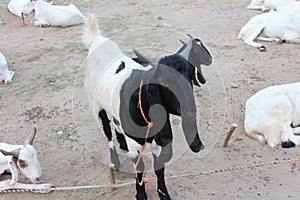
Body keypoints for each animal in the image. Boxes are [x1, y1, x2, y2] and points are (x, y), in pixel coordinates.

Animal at [83, 14, 212, 200]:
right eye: (165, 82)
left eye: (190, 77)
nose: (190, 110)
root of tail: (97, 39)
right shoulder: (135, 144)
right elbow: (140, 167)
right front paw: (140, 194)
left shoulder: (158, 140)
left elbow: (159, 166)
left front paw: (163, 193)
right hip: (96, 105)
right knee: (107, 130)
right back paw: (115, 160)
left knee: (116, 124)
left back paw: (121, 143)